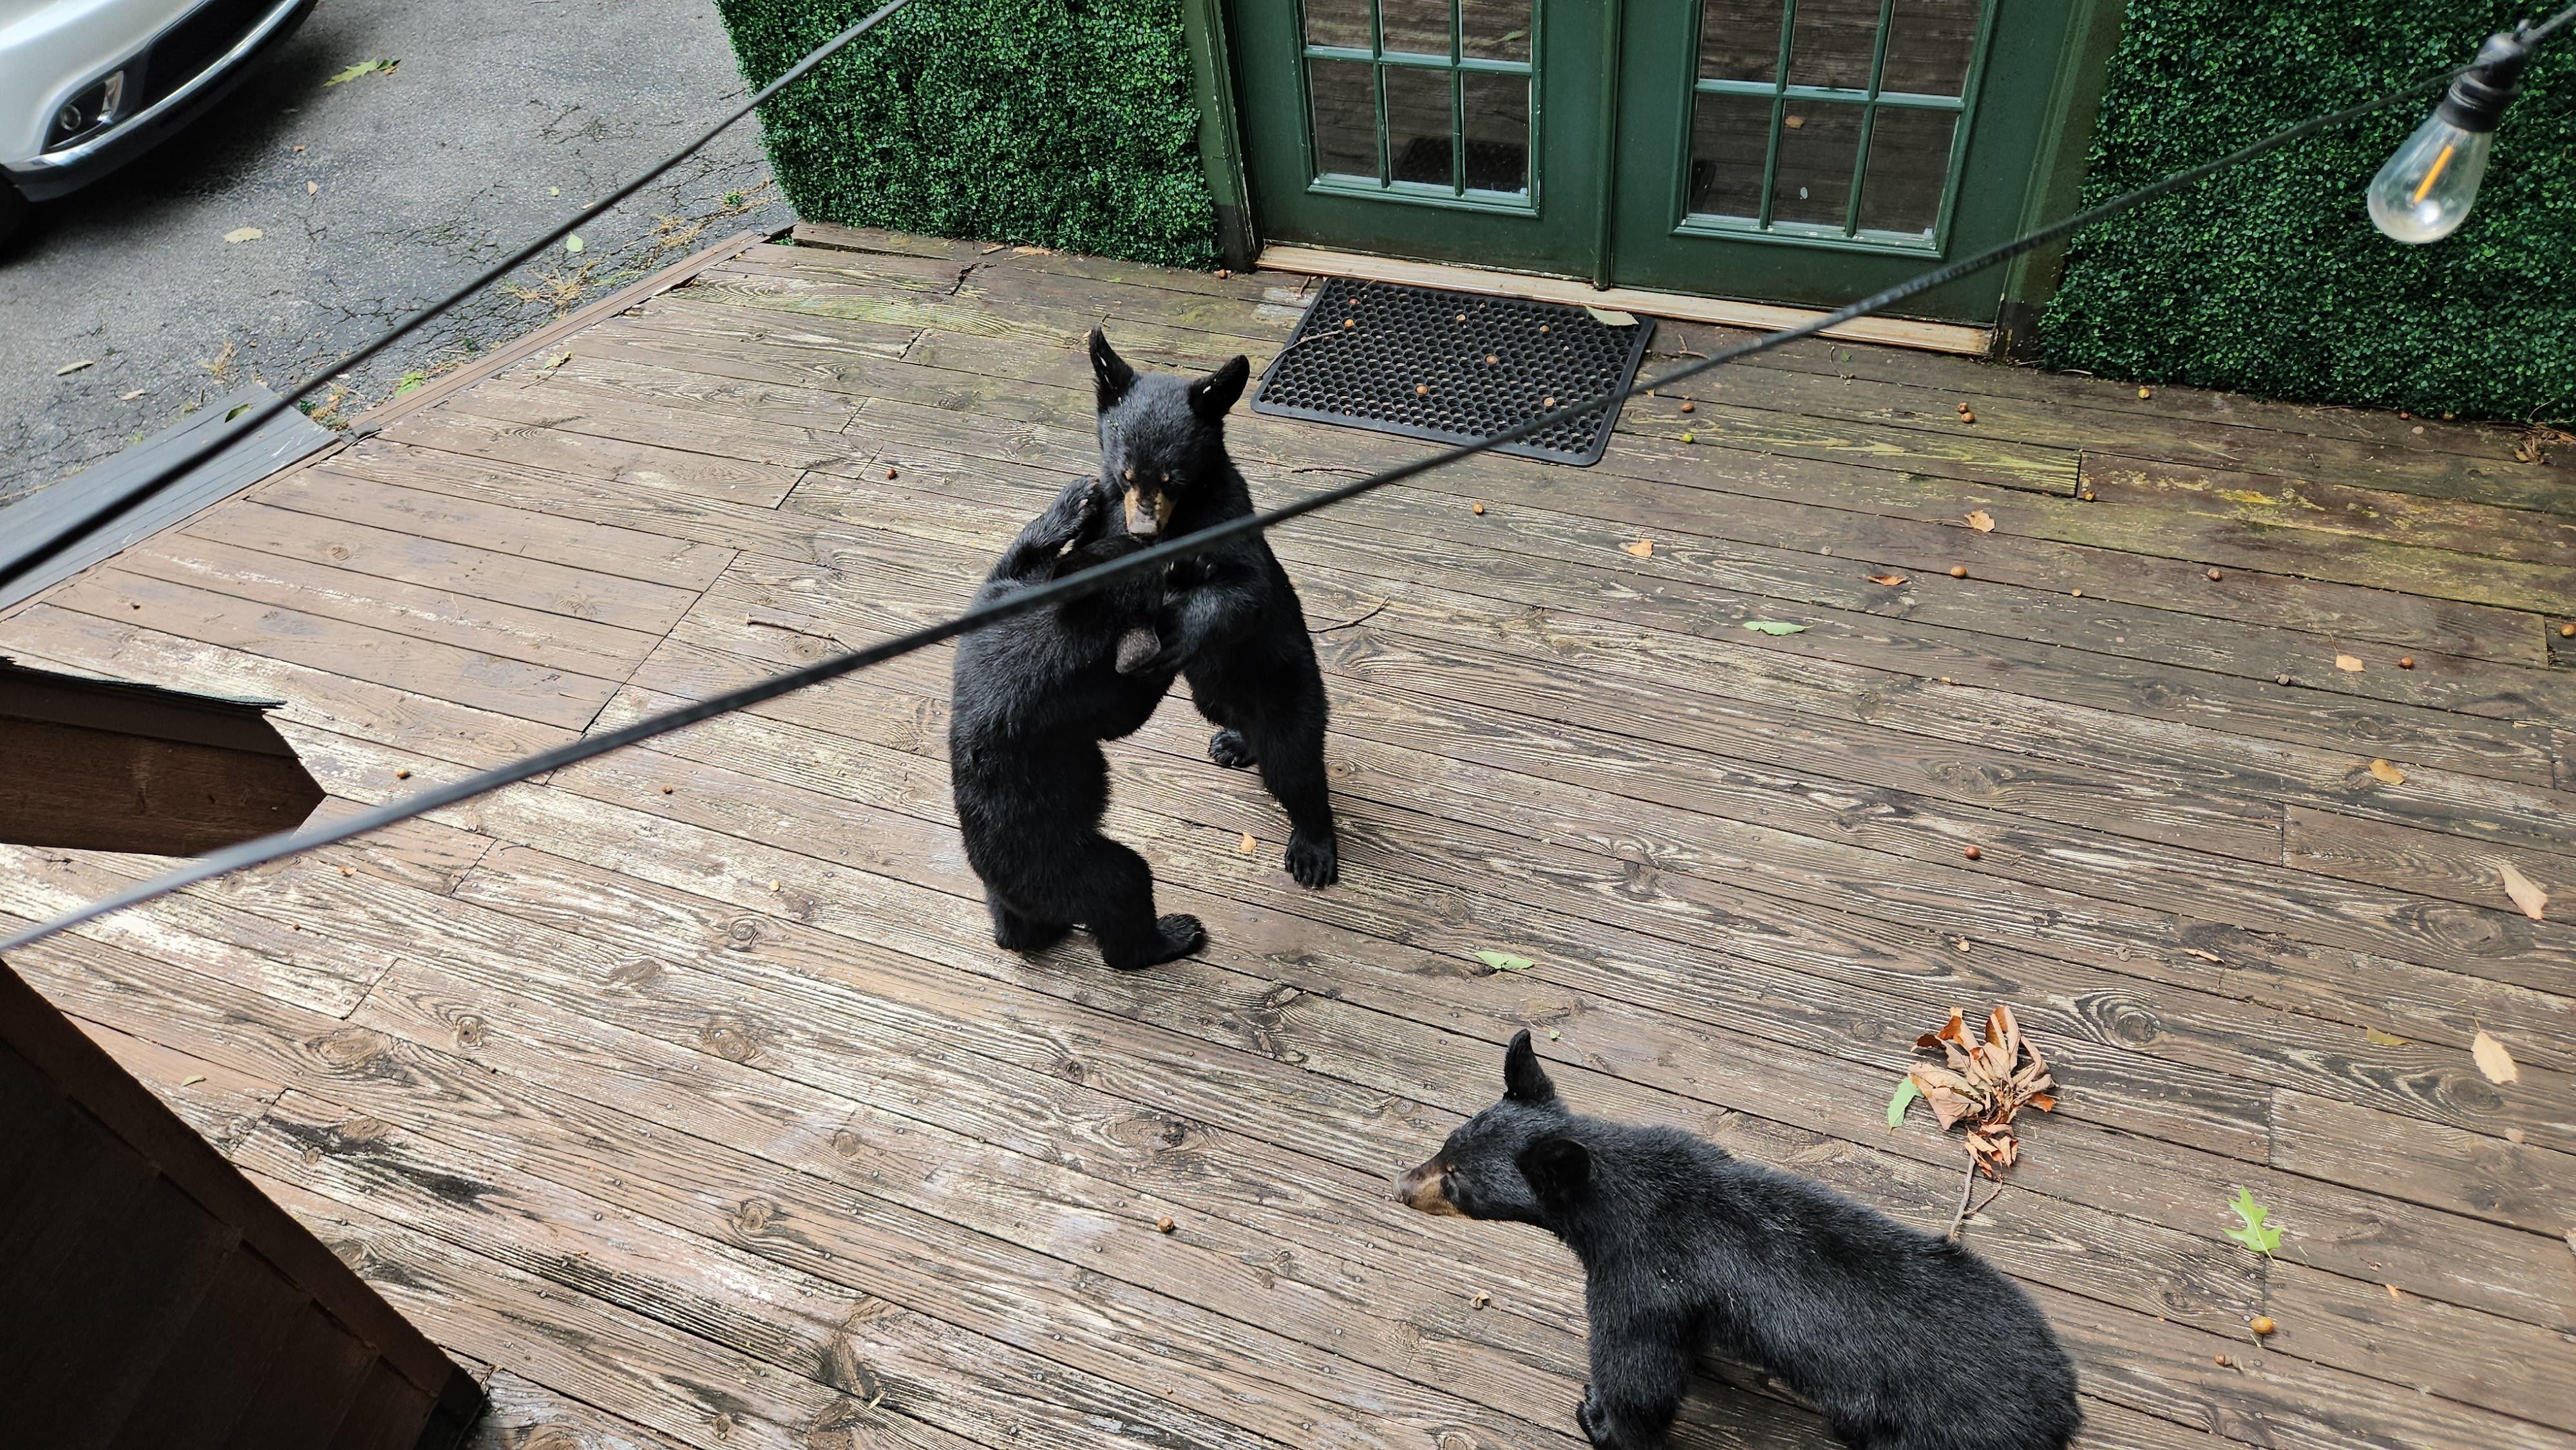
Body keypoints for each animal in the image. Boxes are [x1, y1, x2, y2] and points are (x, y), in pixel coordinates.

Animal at [947, 476, 1204, 971]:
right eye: (1153, 565)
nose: (1159, 539)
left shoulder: (992, 608)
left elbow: (1014, 562)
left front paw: (1074, 502)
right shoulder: (1073, 694)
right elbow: (1122, 715)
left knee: (1016, 929)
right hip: (1067, 870)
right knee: (1123, 889)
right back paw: (1172, 936)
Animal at [1088, 328, 1340, 889]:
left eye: (1174, 479)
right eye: (1126, 475)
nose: (1145, 531)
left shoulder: (1227, 522)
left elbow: (1243, 589)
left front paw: (1176, 626)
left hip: (1287, 692)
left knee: (1296, 766)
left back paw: (1314, 849)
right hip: (1217, 697)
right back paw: (1235, 743)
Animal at [1396, 1032, 2081, 1450]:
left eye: (1457, 1179)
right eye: (1448, 1144)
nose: (1402, 1185)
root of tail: (2062, 1409)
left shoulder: (1640, 1281)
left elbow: (1640, 1380)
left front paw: (1599, 1417)